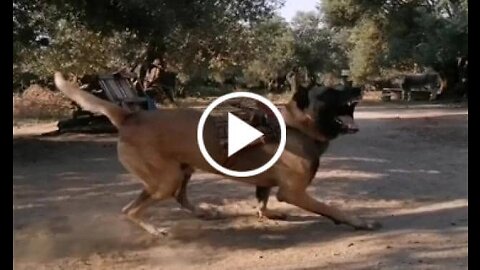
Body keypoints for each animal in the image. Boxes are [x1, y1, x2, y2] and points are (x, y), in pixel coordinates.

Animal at [54, 72, 380, 236]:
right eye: (330, 93)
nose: (358, 87)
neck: (297, 125)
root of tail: (130, 116)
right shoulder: (293, 192)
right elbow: (332, 208)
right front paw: (358, 222)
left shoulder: (266, 184)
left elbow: (261, 202)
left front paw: (267, 214)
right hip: (165, 180)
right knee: (130, 210)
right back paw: (156, 230)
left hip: (181, 172)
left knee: (179, 198)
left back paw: (203, 212)